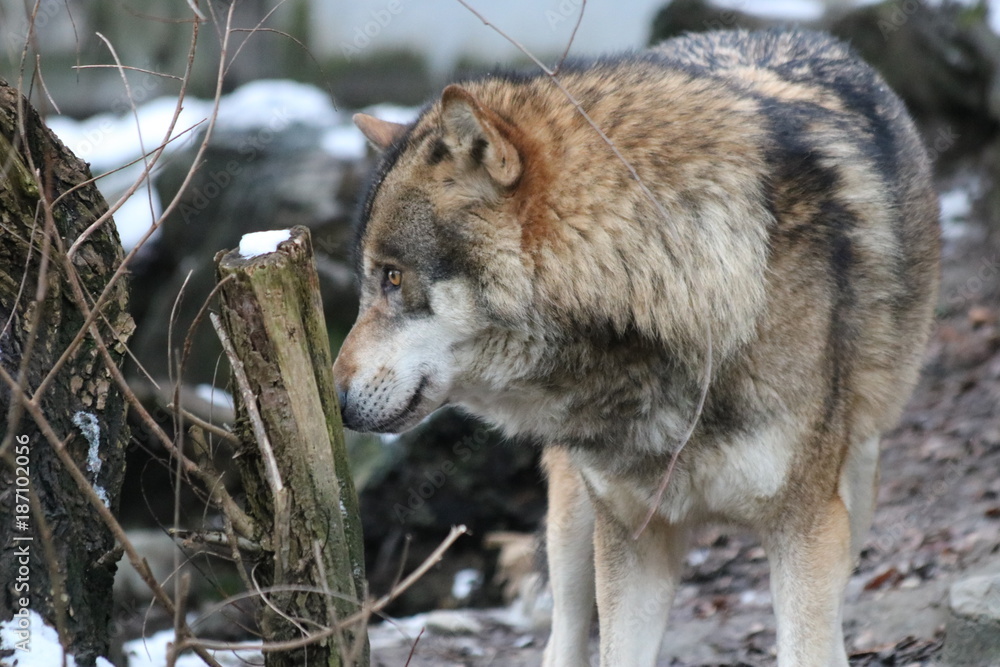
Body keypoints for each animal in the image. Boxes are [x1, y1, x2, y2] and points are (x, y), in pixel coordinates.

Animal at [333, 28, 940, 667]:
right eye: (373, 279)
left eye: (393, 277)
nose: (338, 404)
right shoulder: (632, 538)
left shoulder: (806, 530)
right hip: (577, 520)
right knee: (564, 631)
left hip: (859, 483)